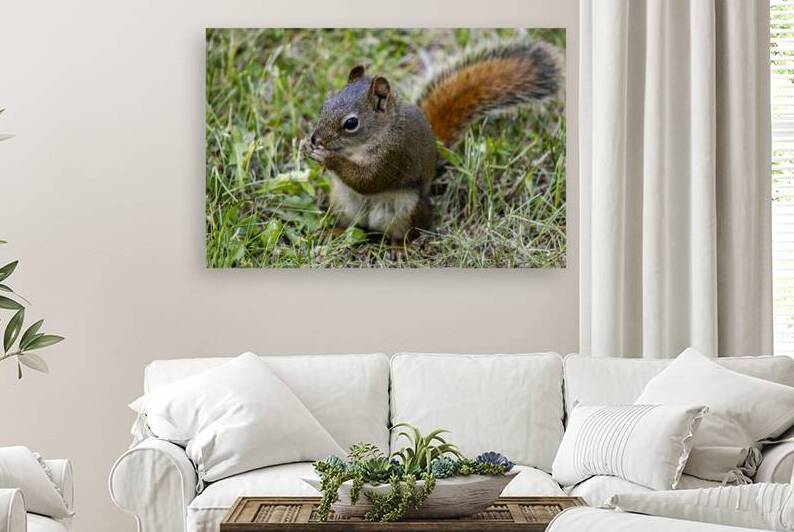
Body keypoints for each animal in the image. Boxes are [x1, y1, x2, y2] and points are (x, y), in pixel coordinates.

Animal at [302, 42, 561, 244]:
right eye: (325, 105)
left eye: (351, 123)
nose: (316, 138)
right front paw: (307, 147)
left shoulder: (394, 155)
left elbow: (369, 180)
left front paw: (329, 158)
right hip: (342, 203)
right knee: (352, 227)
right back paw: (333, 232)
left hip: (406, 211)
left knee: (409, 232)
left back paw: (401, 248)